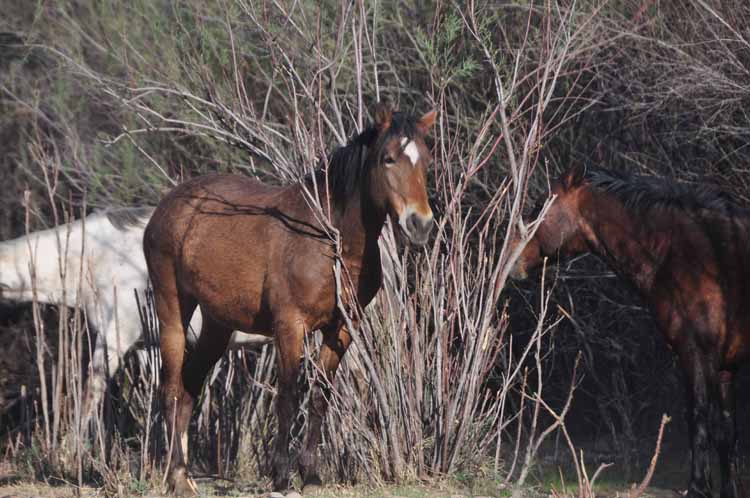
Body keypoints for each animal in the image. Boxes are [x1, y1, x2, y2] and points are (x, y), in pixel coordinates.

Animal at [144, 104, 438, 494]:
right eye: (388, 158)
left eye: (426, 161)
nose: (421, 224)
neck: (330, 239)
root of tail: (168, 206)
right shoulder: (290, 326)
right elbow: (287, 397)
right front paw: (282, 475)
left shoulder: (342, 328)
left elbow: (319, 395)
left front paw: (310, 474)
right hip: (172, 310)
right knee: (172, 388)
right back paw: (177, 476)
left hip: (217, 324)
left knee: (190, 385)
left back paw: (186, 475)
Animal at [516, 165, 750, 498]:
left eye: (540, 205)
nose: (514, 259)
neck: (688, 252)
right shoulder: (725, 367)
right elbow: (727, 432)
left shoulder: (696, 354)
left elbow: (700, 420)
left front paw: (698, 487)